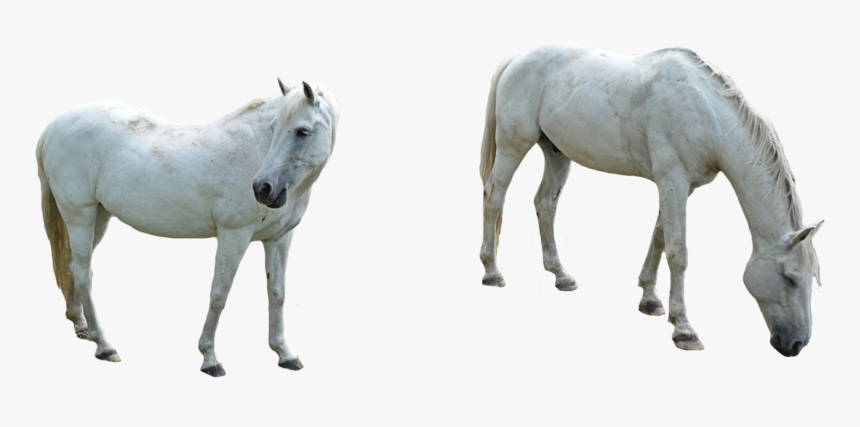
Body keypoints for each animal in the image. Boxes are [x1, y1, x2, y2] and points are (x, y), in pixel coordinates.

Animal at [37, 80, 340, 376]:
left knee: (73, 266)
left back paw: (82, 326)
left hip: (98, 218)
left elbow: (277, 293)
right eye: (273, 128)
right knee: (84, 274)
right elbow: (219, 294)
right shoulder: (233, 236)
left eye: (302, 132)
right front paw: (210, 358)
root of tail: (53, 126)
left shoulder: (279, 239)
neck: (256, 150)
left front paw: (285, 354)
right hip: (80, 215)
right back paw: (104, 345)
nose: (262, 189)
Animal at [478, 43, 823, 357]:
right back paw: (492, 272)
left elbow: (659, 238)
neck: (704, 111)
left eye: (812, 278)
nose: (796, 344)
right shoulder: (673, 180)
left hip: (556, 152)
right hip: (513, 146)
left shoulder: (679, 186)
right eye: (791, 279)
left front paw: (650, 300)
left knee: (545, 204)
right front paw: (684, 329)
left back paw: (561, 275)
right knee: (494, 197)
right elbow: (678, 252)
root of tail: (517, 59)